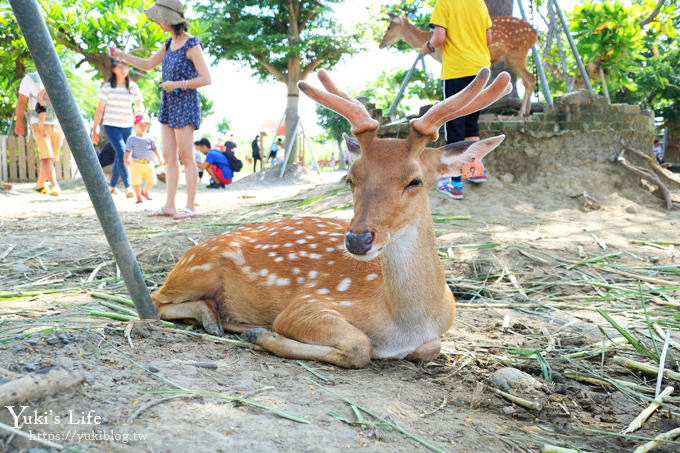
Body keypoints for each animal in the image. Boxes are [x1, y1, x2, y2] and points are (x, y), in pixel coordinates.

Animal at [150, 68, 510, 368]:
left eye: (415, 181)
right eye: (350, 177)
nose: (358, 239)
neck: (406, 324)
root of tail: (187, 254)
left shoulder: (436, 333)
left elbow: (430, 348)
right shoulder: (306, 305)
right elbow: (361, 347)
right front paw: (261, 334)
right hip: (197, 269)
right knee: (155, 299)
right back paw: (214, 318)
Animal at [382, 14, 536, 116]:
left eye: (389, 27)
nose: (381, 44)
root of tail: (535, 34)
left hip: (516, 54)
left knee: (529, 78)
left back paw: (521, 113)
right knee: (531, 78)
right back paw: (527, 112)